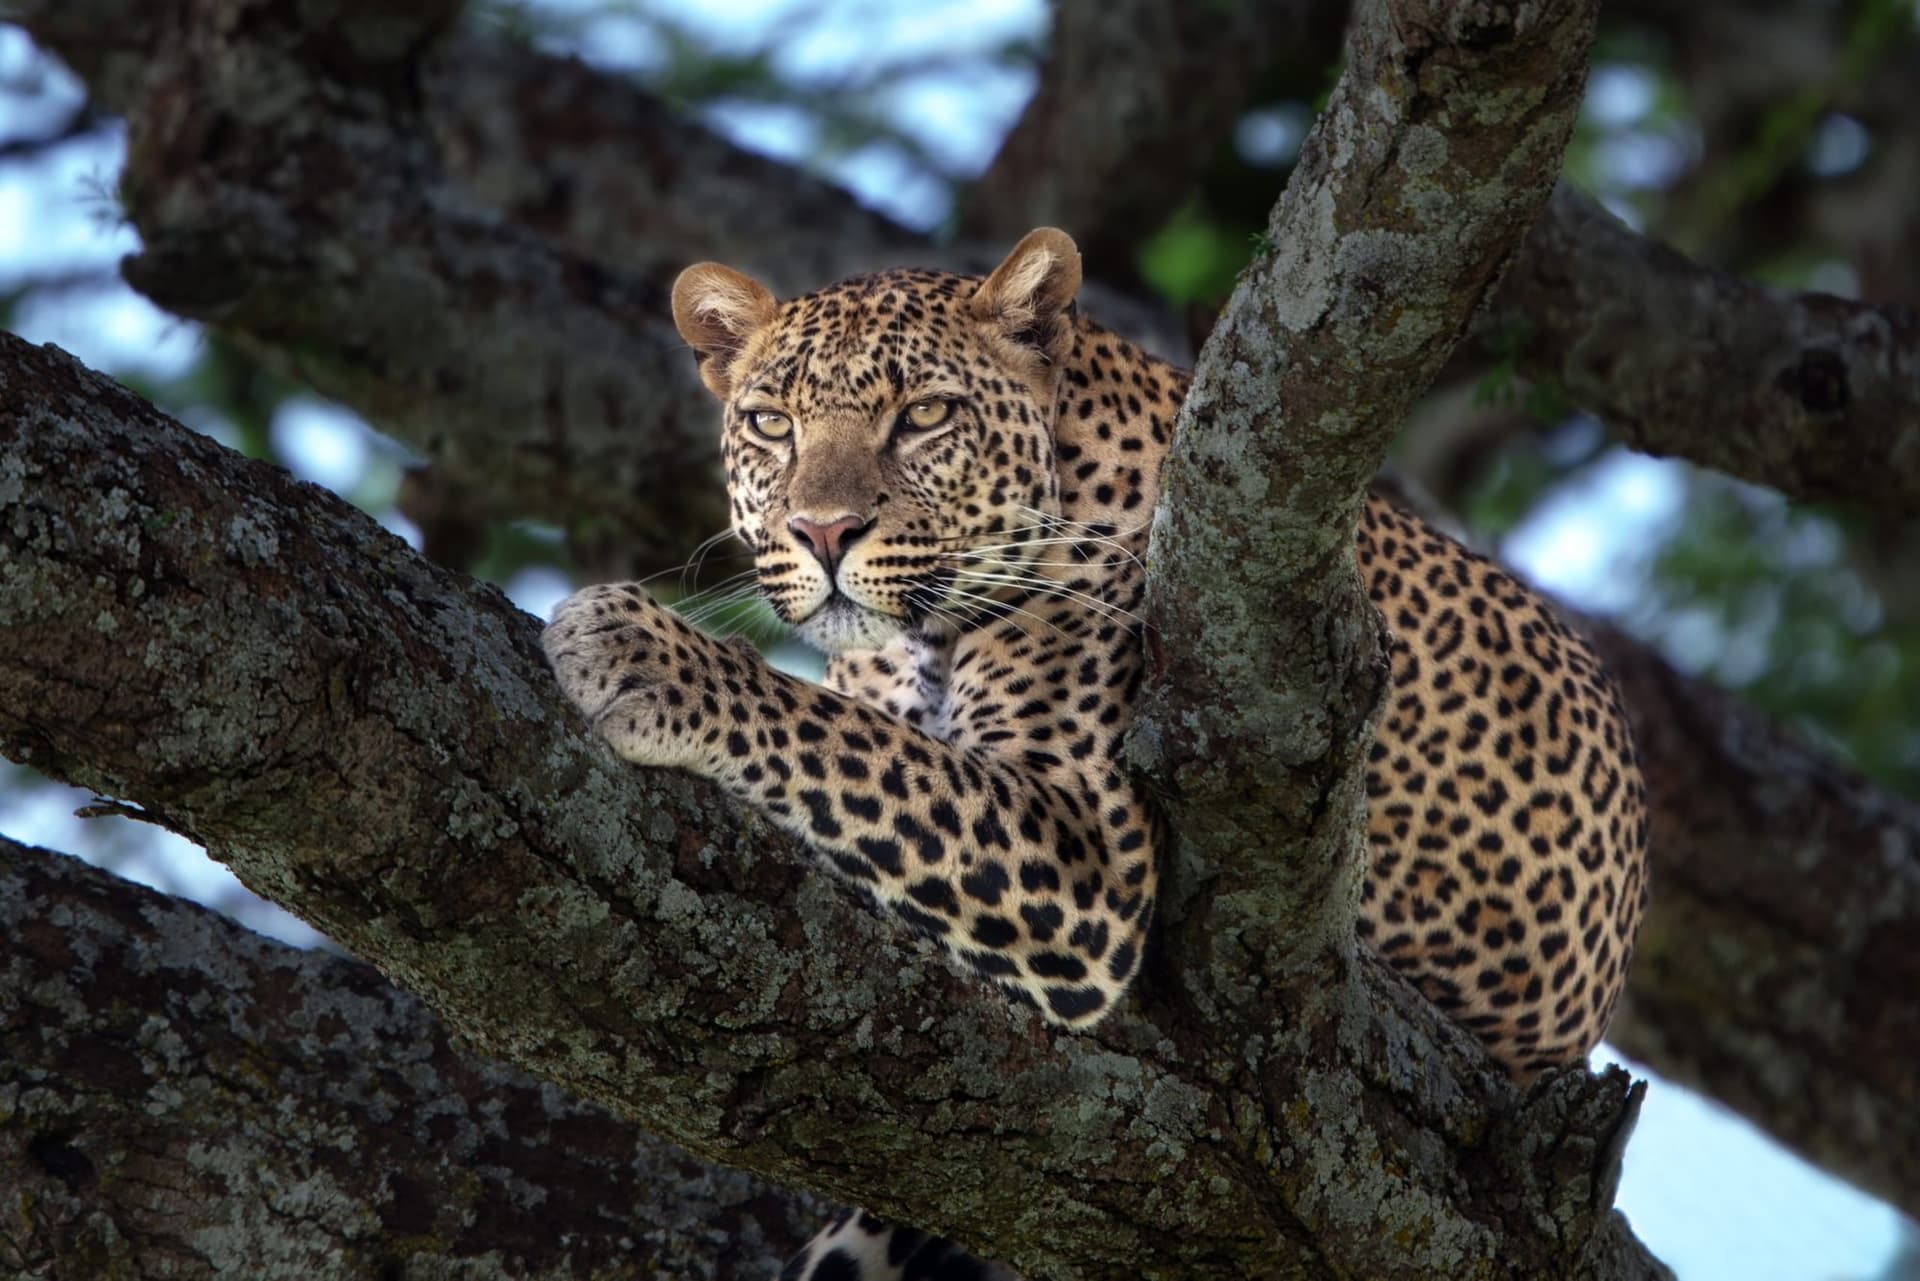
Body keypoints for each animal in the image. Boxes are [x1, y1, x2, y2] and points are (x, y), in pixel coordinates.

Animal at [541, 228, 1650, 1281]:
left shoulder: (1084, 848)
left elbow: (846, 738)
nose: (823, 531)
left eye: (925, 416)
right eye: (773, 425)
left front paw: (645, 651)